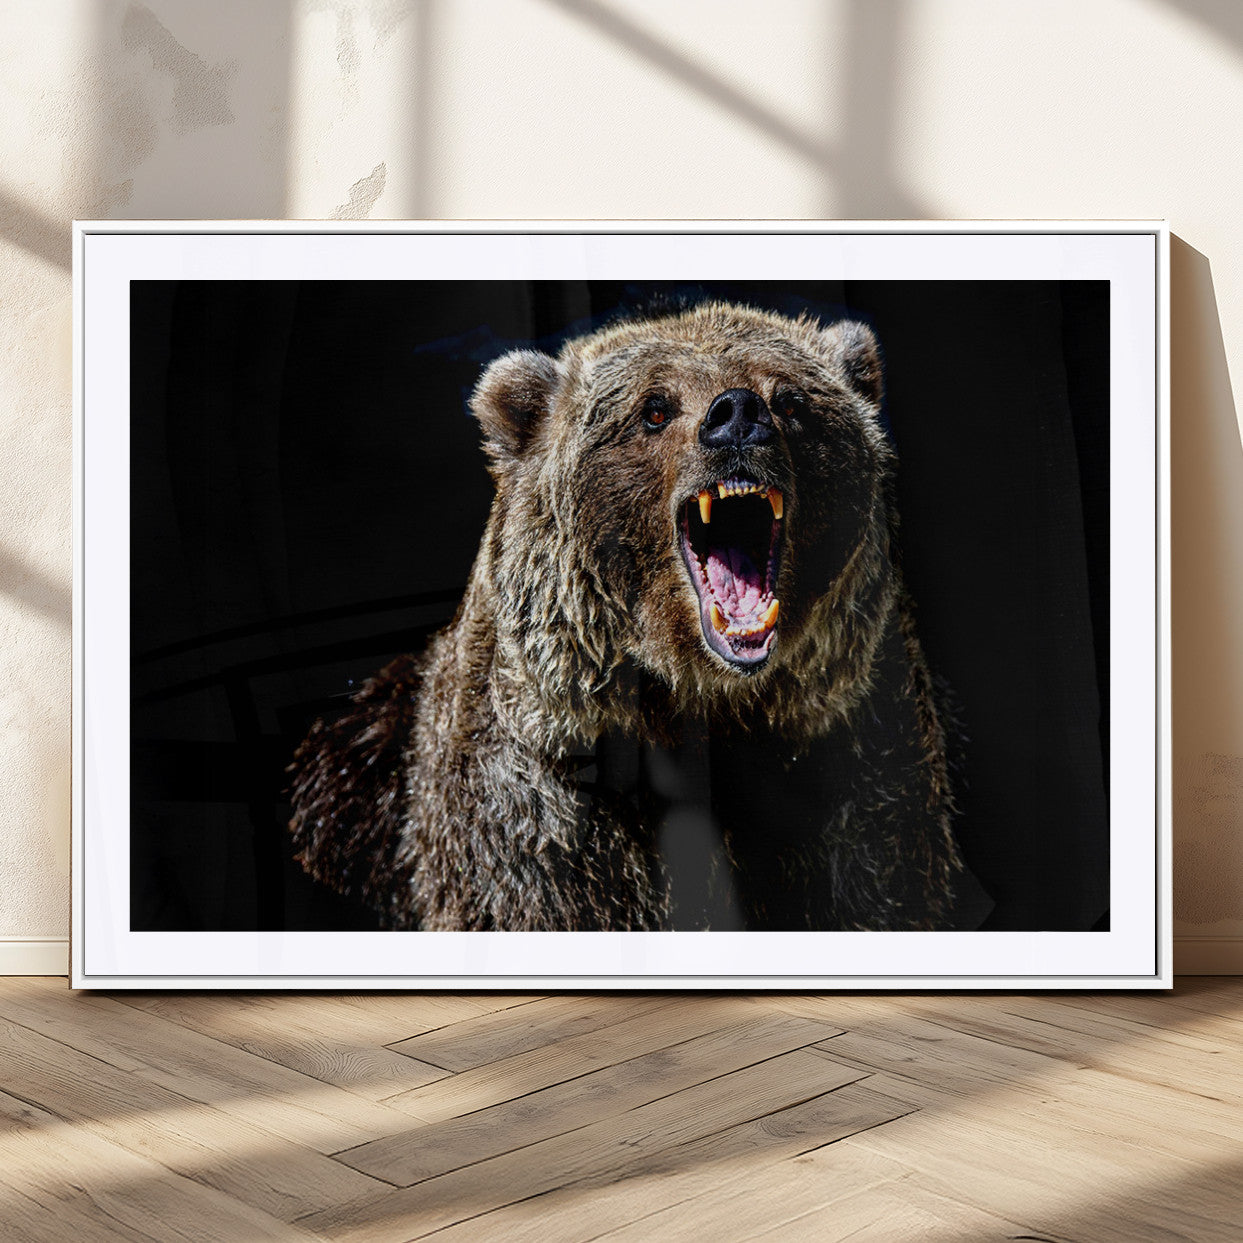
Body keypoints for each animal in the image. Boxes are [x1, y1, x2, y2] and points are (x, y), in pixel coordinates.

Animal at [289, 301, 963, 931]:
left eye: (790, 399)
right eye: (654, 409)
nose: (738, 415)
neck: (705, 704)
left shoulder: (852, 761)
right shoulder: (549, 807)